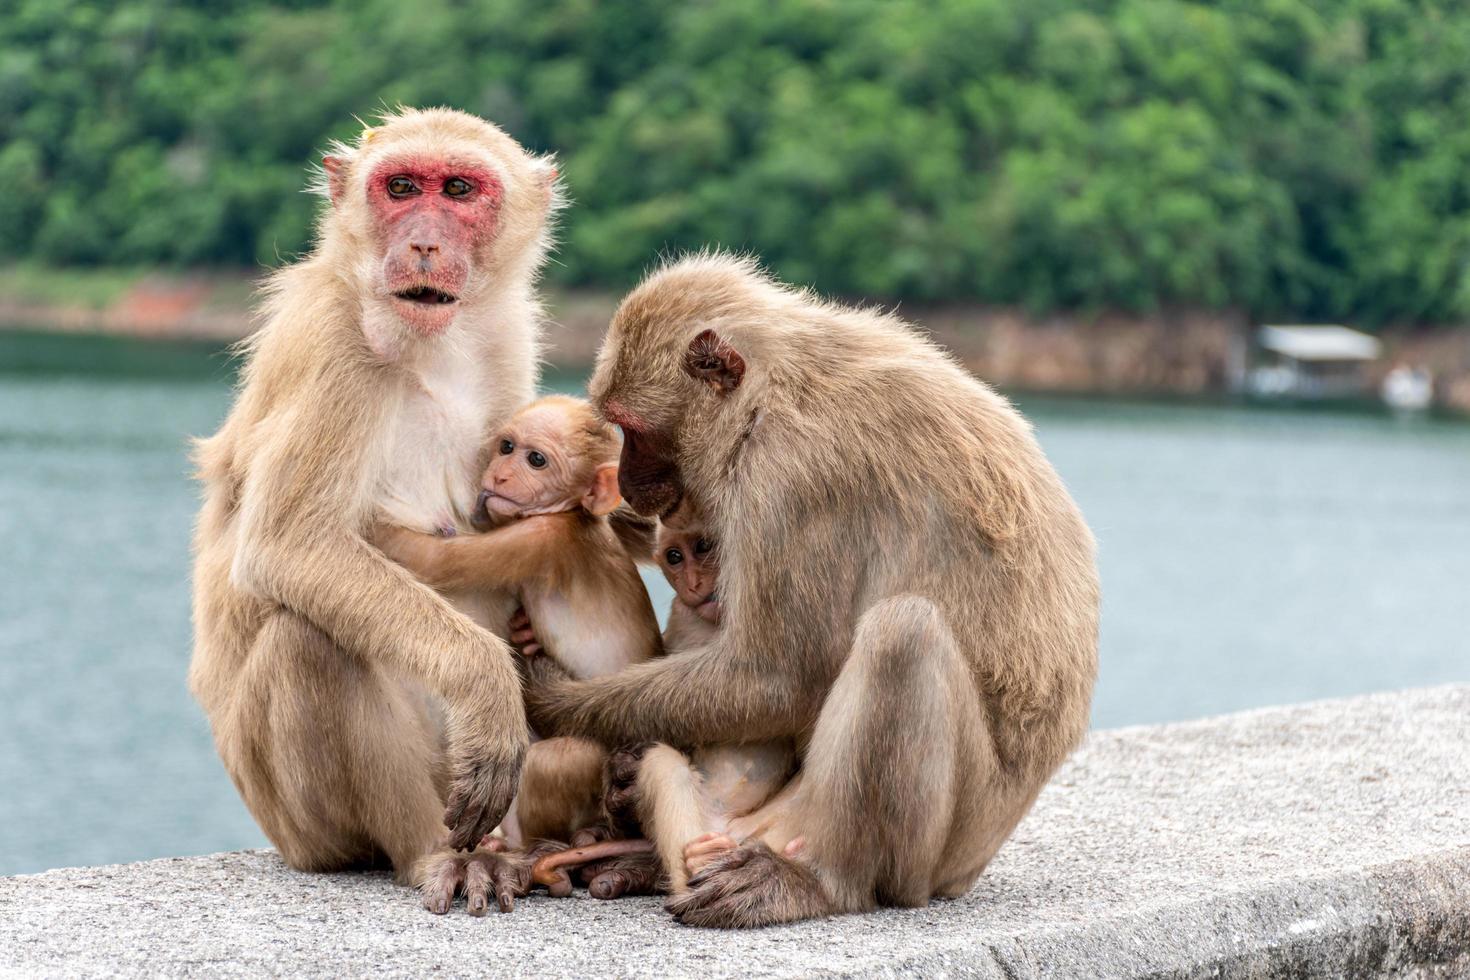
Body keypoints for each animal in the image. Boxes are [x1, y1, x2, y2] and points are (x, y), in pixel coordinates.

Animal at [186, 103, 564, 916]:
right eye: (401, 188)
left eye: (458, 189)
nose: (422, 242)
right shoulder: (331, 347)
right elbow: (291, 547)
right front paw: (487, 683)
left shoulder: (509, 334)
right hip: (300, 821)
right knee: (308, 638)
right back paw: (435, 853)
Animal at [520, 252, 1105, 928]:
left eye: (632, 429)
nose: (626, 480)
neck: (771, 387)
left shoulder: (789, 478)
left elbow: (779, 678)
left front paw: (550, 697)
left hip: (950, 840)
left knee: (903, 633)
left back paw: (823, 884)